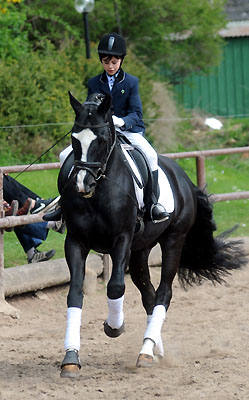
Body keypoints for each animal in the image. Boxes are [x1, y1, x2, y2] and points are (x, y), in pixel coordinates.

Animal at [57, 93, 245, 378]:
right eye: (74, 138)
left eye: (101, 139)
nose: (82, 185)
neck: (100, 193)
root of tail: (183, 178)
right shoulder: (76, 242)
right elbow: (75, 294)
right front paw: (71, 357)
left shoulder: (121, 239)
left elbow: (115, 287)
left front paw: (114, 326)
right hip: (140, 251)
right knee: (149, 295)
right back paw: (153, 348)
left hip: (173, 240)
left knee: (163, 293)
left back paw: (146, 351)